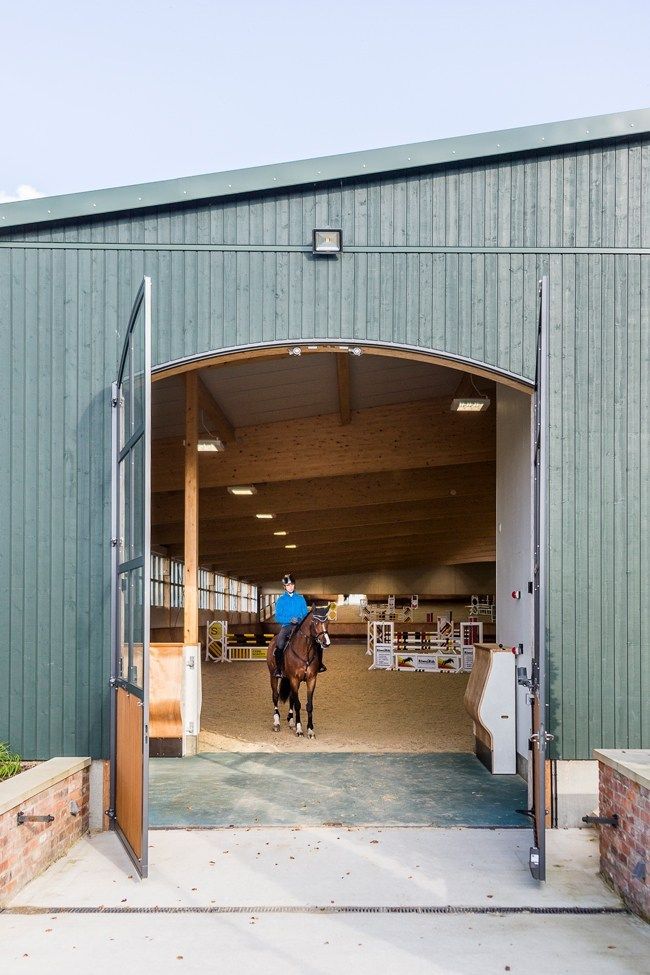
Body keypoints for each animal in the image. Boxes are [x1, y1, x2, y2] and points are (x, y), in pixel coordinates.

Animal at [266, 604, 330, 740]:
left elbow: (308, 705)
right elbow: (298, 704)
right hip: (273, 676)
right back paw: (276, 723)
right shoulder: (294, 679)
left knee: (291, 698)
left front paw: (310, 730)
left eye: (327, 622)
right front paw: (300, 730)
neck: (304, 650)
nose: (326, 642)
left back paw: (291, 721)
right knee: (275, 696)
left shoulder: (311, 679)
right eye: (315, 621)